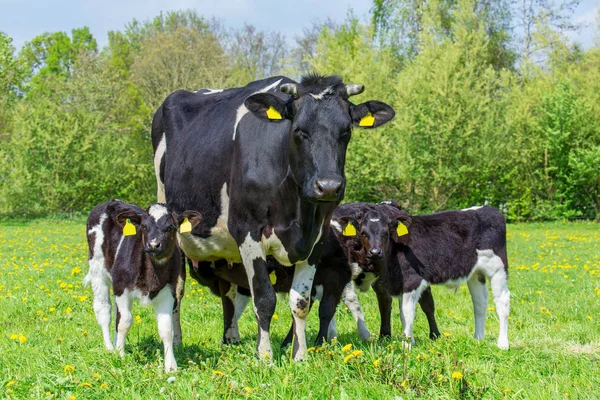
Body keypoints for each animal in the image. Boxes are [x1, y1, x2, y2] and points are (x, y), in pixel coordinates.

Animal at [84, 200, 202, 372]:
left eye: (171, 227)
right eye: (144, 227)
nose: (153, 245)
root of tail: (110, 202)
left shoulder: (169, 292)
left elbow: (167, 329)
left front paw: (171, 366)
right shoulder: (121, 288)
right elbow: (124, 322)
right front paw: (120, 356)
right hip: (97, 268)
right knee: (104, 310)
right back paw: (110, 348)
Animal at [151, 73, 394, 360]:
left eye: (346, 131)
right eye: (299, 130)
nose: (328, 186)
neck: (297, 212)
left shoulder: (317, 240)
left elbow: (301, 302)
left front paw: (299, 355)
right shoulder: (247, 232)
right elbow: (264, 299)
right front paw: (265, 356)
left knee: (227, 291)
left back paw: (231, 339)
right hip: (173, 231)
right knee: (177, 291)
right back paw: (177, 342)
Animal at [340, 205, 508, 348]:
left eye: (385, 233)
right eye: (363, 233)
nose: (375, 252)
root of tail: (489, 209)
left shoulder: (412, 281)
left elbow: (407, 314)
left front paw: (407, 345)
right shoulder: (397, 284)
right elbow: (401, 314)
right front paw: (410, 341)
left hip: (498, 268)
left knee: (502, 303)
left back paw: (502, 344)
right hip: (475, 273)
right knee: (480, 303)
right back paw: (478, 339)